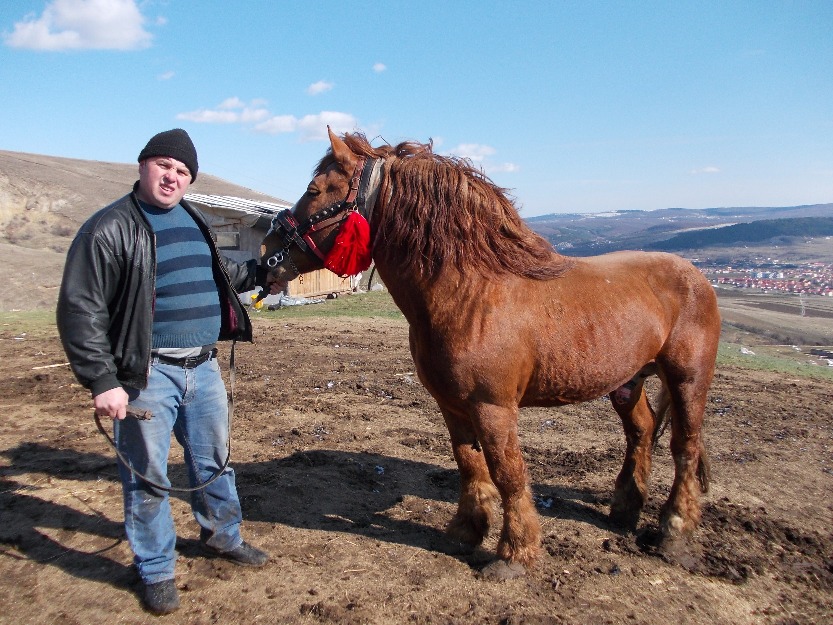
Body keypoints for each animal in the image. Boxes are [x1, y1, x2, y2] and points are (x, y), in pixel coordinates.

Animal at [262, 130, 720, 576]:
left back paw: (674, 531)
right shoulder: (452, 405)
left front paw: (515, 553)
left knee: (685, 445)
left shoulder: (493, 407)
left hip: (687, 378)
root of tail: (696, 275)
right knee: (641, 431)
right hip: (628, 381)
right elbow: (468, 463)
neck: (471, 295)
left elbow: (507, 472)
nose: (266, 253)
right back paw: (625, 510)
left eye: (314, 190)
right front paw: (466, 530)